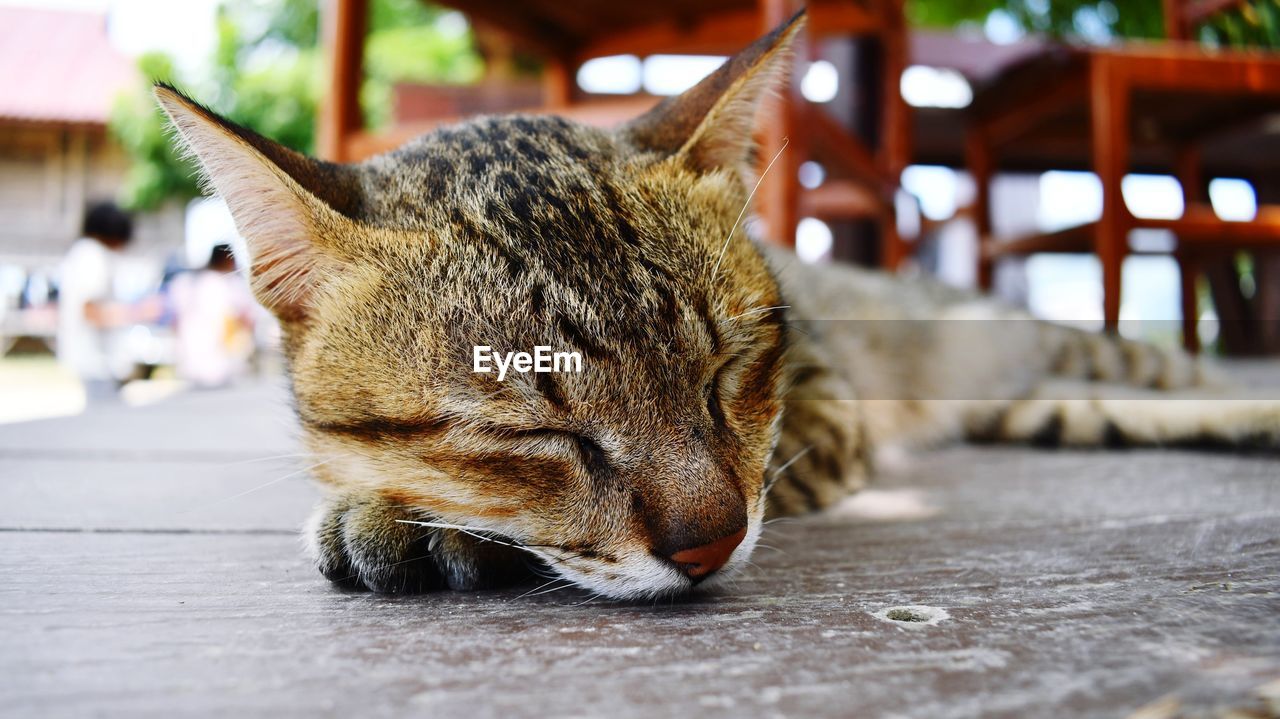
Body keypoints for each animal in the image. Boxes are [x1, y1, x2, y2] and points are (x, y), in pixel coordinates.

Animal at [154, 12, 1274, 598]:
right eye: (530, 431)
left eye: (725, 373)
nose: (710, 544)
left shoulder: (818, 411)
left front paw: (418, 524)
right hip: (1046, 404)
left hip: (1075, 351)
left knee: (1180, 372)